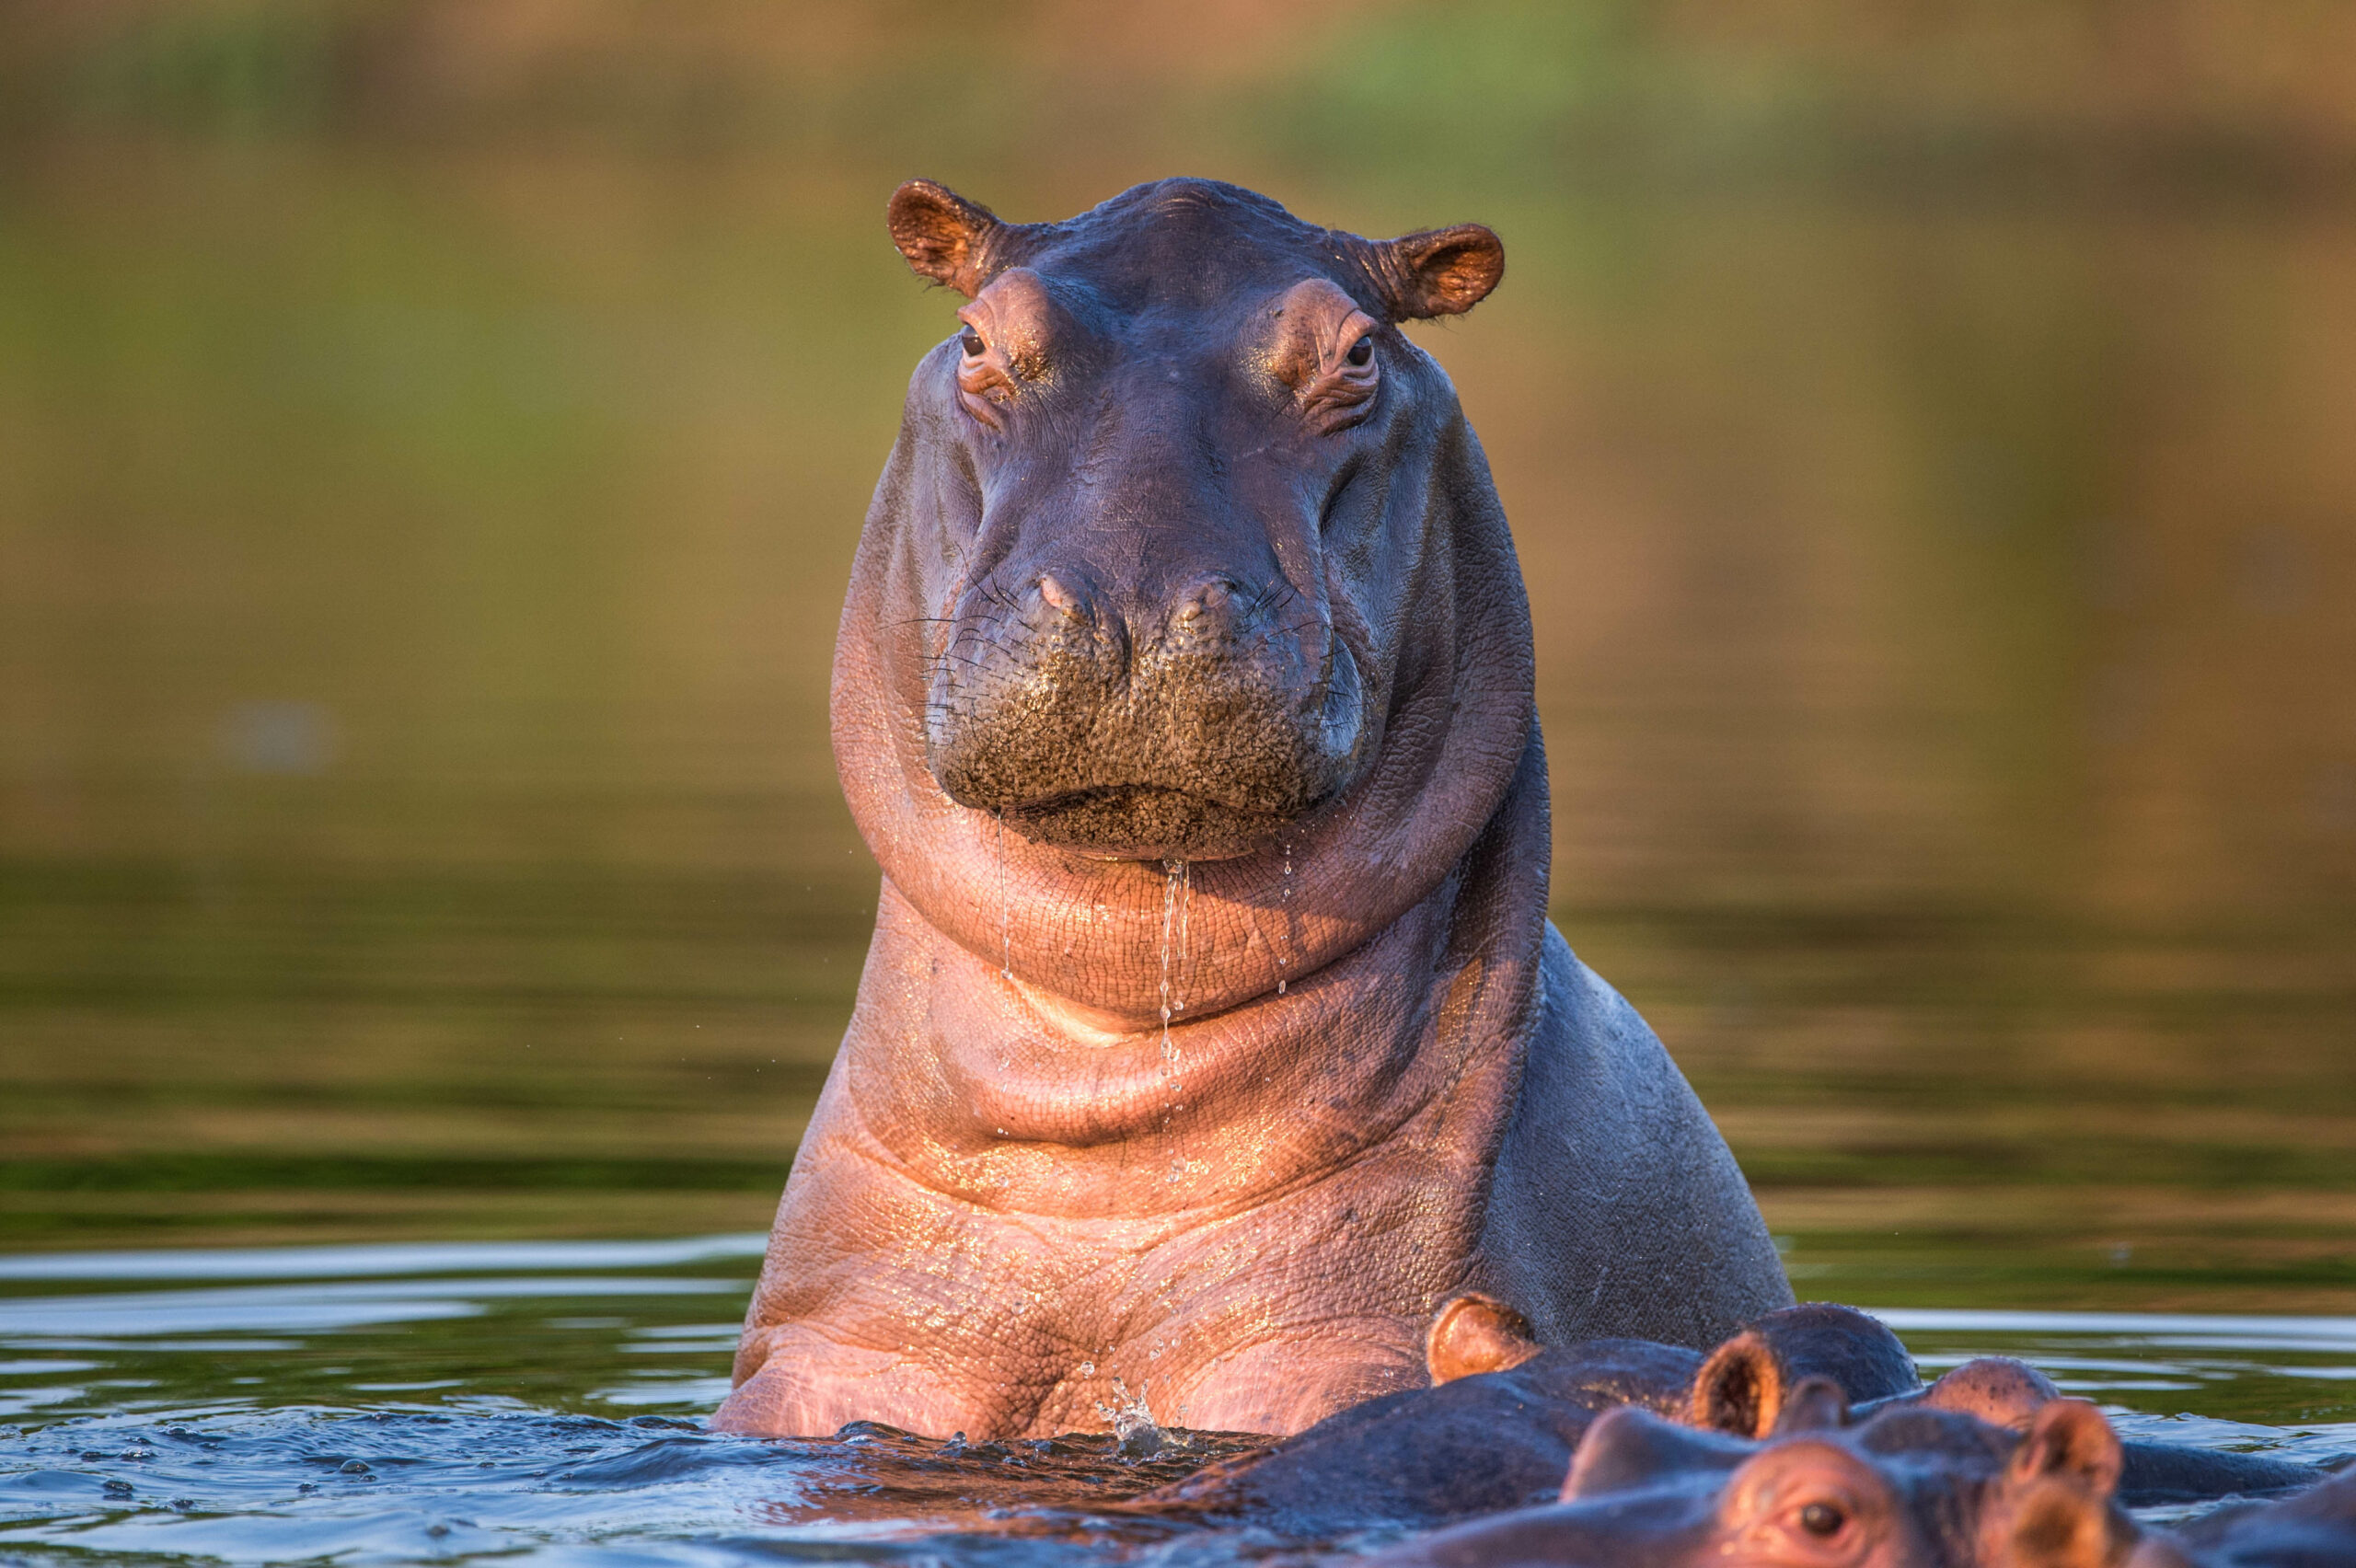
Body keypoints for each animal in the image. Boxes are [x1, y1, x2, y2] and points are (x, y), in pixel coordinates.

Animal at [716, 176, 1781, 1431]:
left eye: (1359, 352)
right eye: (978, 338)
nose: (1131, 602)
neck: (1113, 1059)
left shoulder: (1339, 1347)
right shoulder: (838, 1354)